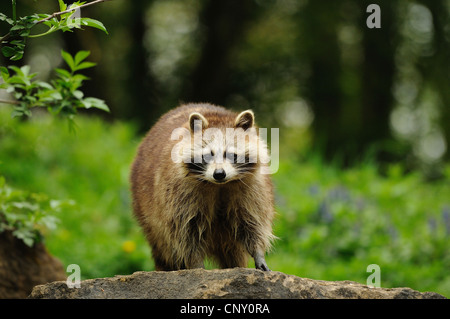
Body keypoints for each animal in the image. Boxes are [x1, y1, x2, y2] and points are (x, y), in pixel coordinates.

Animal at [130, 103, 276, 272]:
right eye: (208, 155)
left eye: (231, 155)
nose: (219, 174)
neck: (220, 185)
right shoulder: (179, 194)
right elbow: (186, 232)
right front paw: (196, 264)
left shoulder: (253, 189)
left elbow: (252, 222)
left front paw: (258, 253)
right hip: (147, 209)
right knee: (163, 244)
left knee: (233, 248)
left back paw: (234, 265)